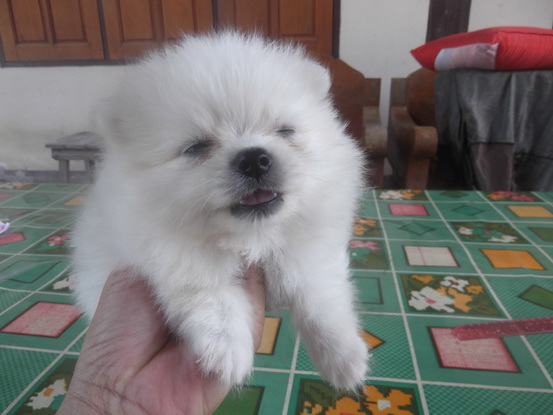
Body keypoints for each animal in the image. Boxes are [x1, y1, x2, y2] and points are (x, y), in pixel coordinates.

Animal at [72, 32, 369, 389]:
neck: (251, 237)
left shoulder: (309, 249)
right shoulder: (173, 259)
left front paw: (344, 357)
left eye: (285, 131)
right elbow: (213, 297)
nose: (254, 159)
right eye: (197, 147)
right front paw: (227, 352)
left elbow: (319, 296)